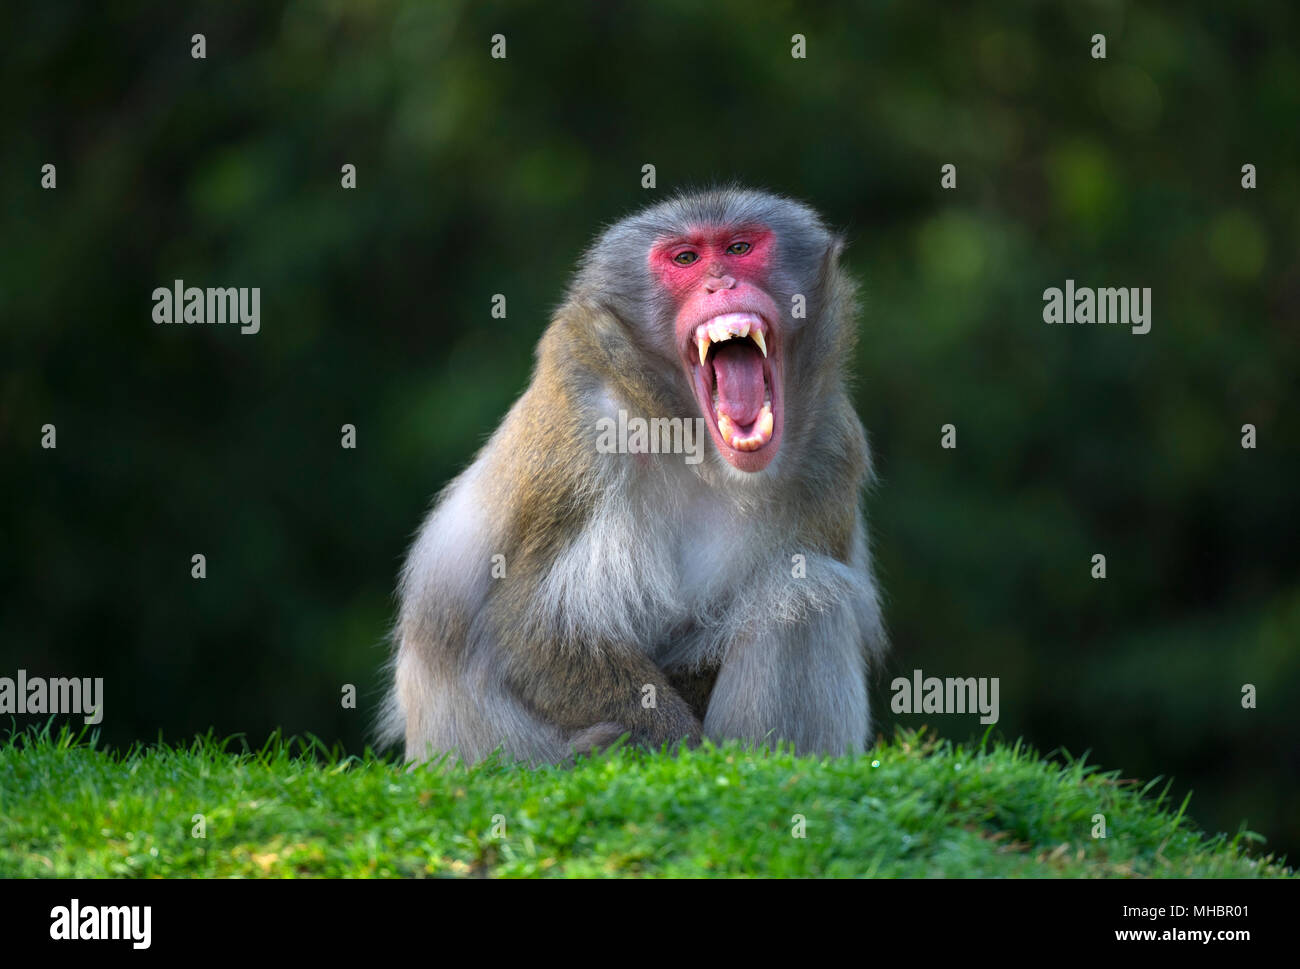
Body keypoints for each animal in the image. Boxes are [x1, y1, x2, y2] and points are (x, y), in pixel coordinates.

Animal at [380, 186, 885, 766]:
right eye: (685, 259)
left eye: (739, 248)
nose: (721, 283)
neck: (700, 451)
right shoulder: (584, 433)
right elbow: (530, 629)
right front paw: (671, 744)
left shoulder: (834, 450)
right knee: (810, 601)